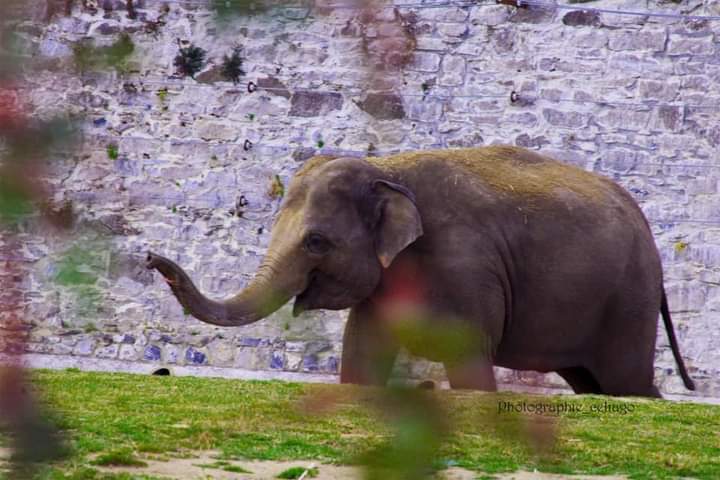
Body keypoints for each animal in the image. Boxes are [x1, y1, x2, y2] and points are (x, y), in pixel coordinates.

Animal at [148, 145, 696, 398]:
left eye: (316, 241)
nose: (152, 259)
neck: (388, 167)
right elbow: (362, 356)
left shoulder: (466, 266)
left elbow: (470, 360)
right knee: (593, 383)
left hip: (629, 300)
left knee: (627, 382)